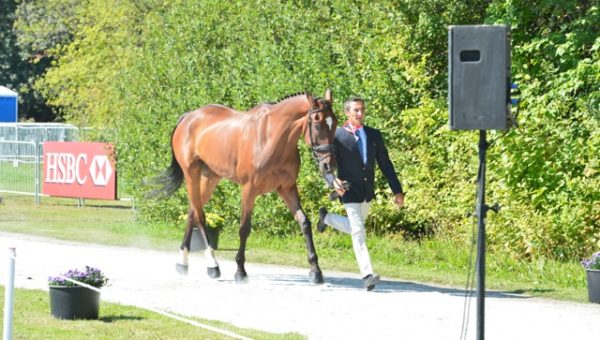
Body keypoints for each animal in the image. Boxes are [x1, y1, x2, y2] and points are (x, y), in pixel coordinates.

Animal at [154, 89, 338, 282]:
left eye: (335, 122)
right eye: (317, 124)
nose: (329, 166)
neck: (272, 138)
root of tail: (188, 117)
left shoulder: (287, 188)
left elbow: (304, 223)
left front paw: (315, 270)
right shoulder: (249, 190)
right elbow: (244, 228)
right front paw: (240, 271)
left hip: (211, 177)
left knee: (192, 212)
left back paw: (182, 263)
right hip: (191, 174)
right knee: (200, 216)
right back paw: (213, 265)